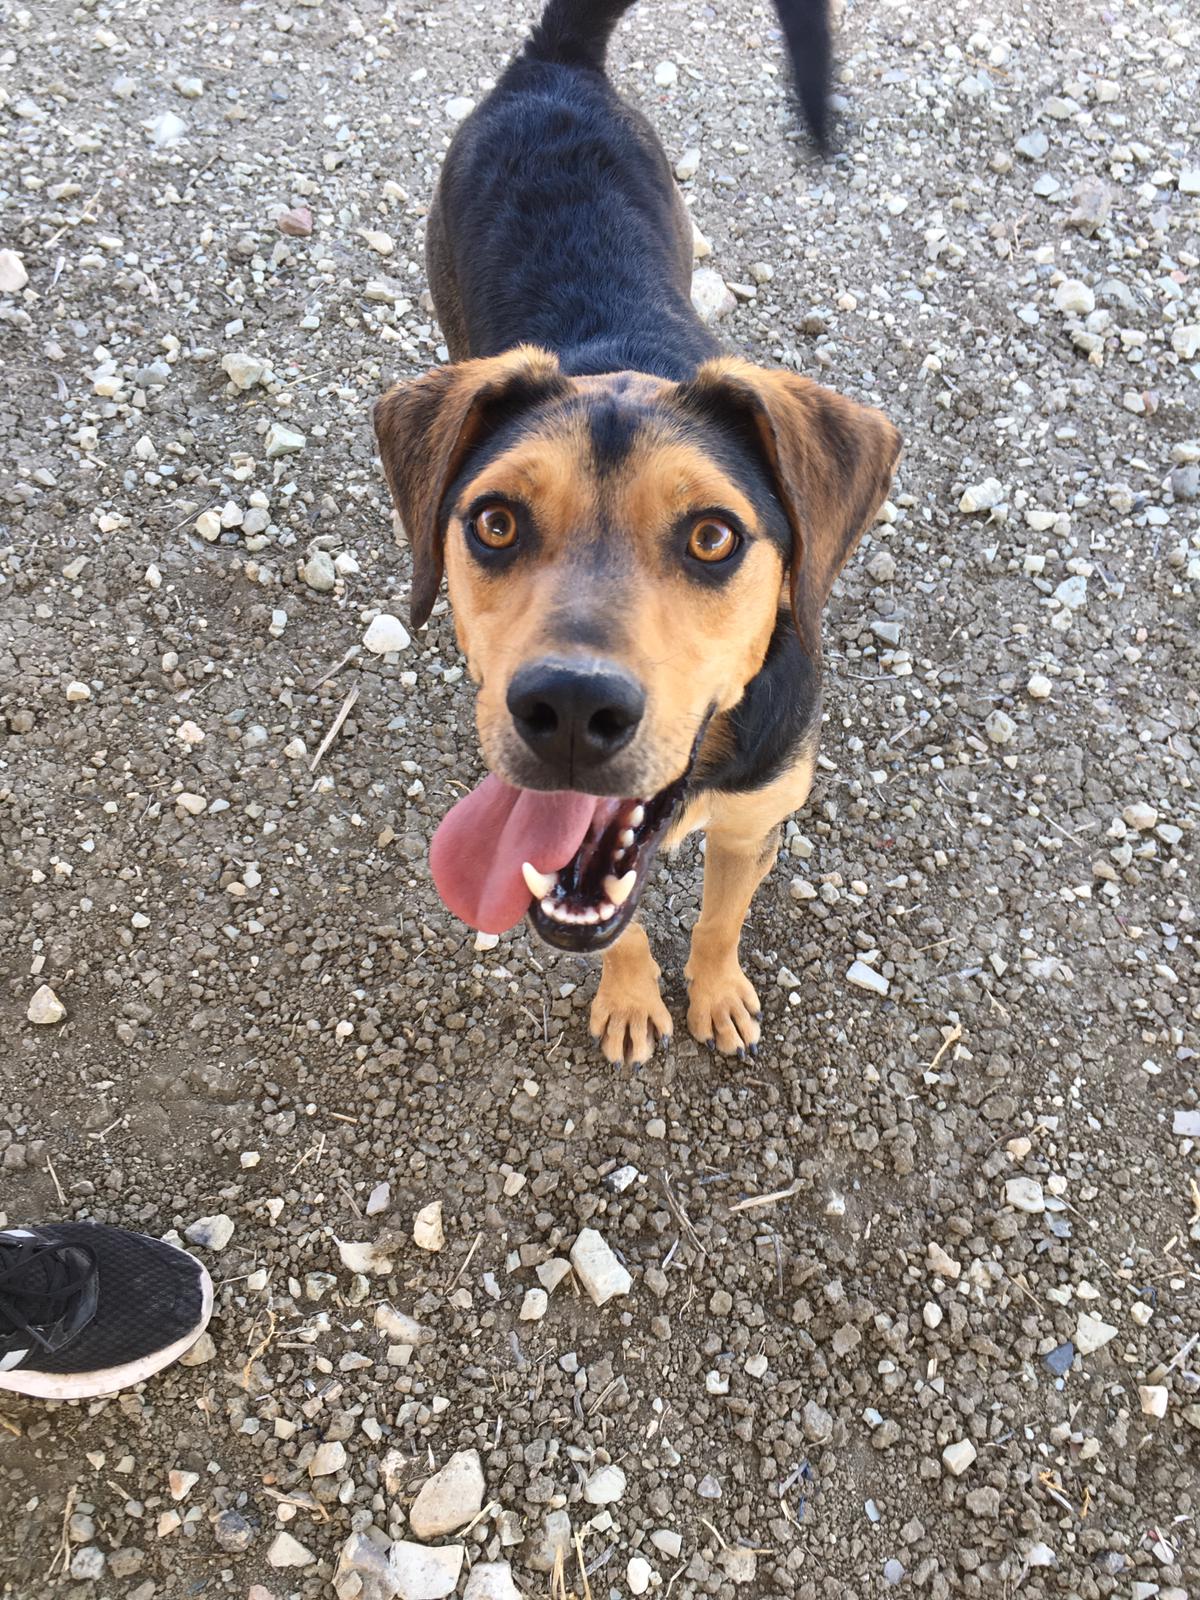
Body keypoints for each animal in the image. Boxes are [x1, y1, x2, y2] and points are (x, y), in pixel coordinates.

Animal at [376, 3, 902, 1075]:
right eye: (494, 522)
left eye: (712, 537)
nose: (571, 710)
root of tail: (553, 63)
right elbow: (617, 924)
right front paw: (630, 998)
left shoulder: (754, 821)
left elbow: (718, 918)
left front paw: (717, 994)